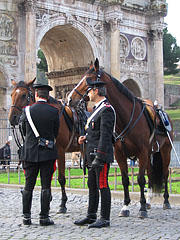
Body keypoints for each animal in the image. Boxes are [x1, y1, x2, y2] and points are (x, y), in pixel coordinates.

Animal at [8, 78, 81, 212]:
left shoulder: (60, 151)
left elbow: (61, 178)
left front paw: (63, 203)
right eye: (11, 94)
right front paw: (49, 199)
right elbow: (48, 176)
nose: (12, 118)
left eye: (23, 95)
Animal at [67, 58, 173, 218]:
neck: (126, 117)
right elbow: (125, 179)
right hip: (150, 153)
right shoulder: (120, 154)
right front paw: (126, 206)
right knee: (150, 173)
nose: (69, 99)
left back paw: (166, 201)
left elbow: (140, 179)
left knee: (165, 173)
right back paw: (149, 201)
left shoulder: (142, 152)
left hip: (165, 151)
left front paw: (141, 208)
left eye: (89, 80)